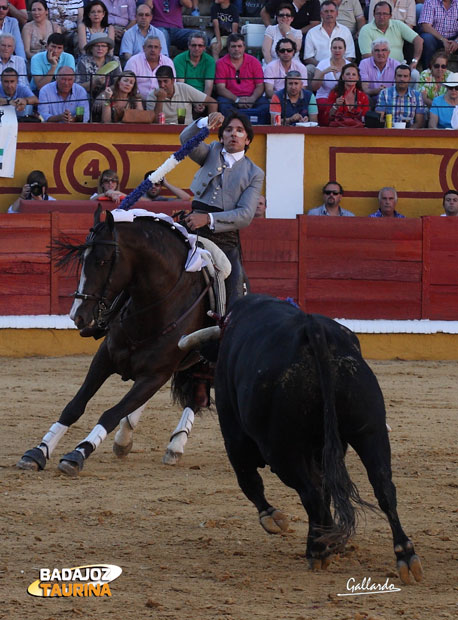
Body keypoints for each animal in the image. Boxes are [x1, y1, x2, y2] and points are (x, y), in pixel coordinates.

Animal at [16, 208, 212, 474]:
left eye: (102, 261)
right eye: (82, 260)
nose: (76, 315)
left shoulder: (155, 374)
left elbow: (110, 414)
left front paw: (78, 453)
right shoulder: (105, 358)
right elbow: (75, 405)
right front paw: (39, 450)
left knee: (197, 396)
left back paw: (175, 446)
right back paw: (124, 439)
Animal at [182, 294, 422, 580]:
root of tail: (314, 331)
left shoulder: (233, 432)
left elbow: (248, 479)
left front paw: (273, 518)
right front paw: (334, 540)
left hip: (283, 450)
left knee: (310, 491)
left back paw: (317, 551)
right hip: (370, 430)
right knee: (383, 487)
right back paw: (404, 555)